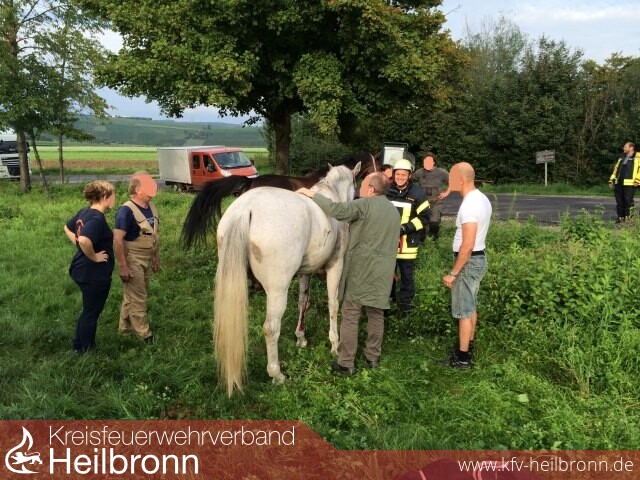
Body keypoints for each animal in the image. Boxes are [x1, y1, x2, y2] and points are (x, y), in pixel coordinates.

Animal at [182, 163, 360, 396]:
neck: (332, 195)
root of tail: (246, 208)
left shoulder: (306, 271)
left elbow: (303, 301)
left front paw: (301, 338)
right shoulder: (335, 265)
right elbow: (333, 304)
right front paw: (334, 344)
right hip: (277, 290)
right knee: (271, 328)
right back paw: (277, 374)